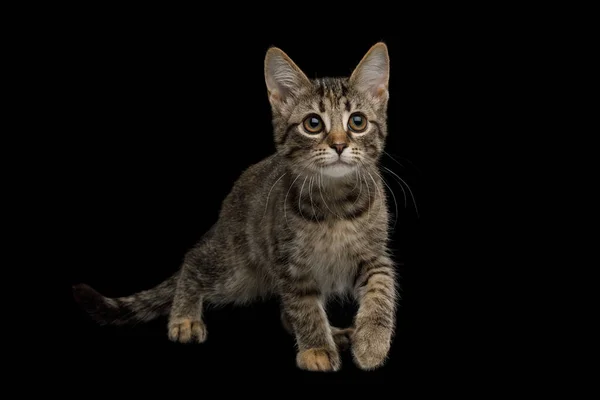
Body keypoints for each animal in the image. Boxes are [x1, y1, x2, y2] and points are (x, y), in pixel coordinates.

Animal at [74, 43, 398, 372]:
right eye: (313, 124)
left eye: (357, 122)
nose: (339, 145)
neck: (335, 203)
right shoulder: (290, 264)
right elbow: (304, 307)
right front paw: (317, 347)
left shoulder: (374, 253)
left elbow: (381, 288)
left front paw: (371, 342)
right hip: (236, 269)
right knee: (193, 261)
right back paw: (184, 317)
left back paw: (336, 333)